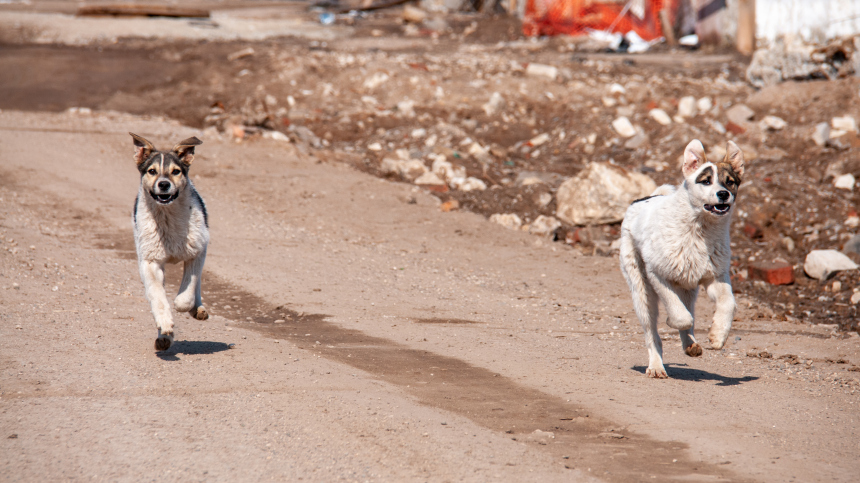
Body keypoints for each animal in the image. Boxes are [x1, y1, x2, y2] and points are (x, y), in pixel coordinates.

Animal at [131, 132, 212, 352]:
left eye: (176, 171)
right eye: (152, 171)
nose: (164, 184)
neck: (167, 217)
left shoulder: (197, 251)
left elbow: (187, 293)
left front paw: (187, 305)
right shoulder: (149, 262)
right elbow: (158, 297)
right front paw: (165, 325)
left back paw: (198, 309)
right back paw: (164, 338)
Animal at [620, 139, 744, 378]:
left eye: (730, 182)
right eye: (706, 181)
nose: (723, 194)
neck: (699, 230)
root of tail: (644, 199)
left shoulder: (716, 278)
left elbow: (729, 303)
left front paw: (718, 335)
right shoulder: (657, 275)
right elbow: (680, 315)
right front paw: (672, 321)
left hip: (689, 287)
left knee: (688, 308)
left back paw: (690, 344)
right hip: (641, 290)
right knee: (653, 332)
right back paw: (656, 366)